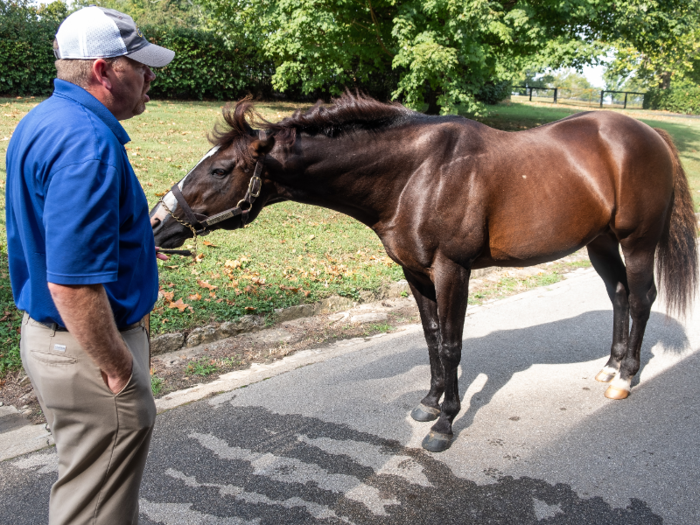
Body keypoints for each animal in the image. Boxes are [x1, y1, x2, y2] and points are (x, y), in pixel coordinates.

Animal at [150, 93, 696, 450]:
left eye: (221, 169)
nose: (157, 222)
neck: (417, 174)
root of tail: (650, 132)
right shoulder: (414, 272)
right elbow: (432, 337)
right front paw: (429, 403)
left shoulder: (452, 270)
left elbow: (452, 344)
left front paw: (445, 425)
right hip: (599, 241)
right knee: (619, 294)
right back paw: (609, 364)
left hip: (638, 242)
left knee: (642, 297)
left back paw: (625, 377)